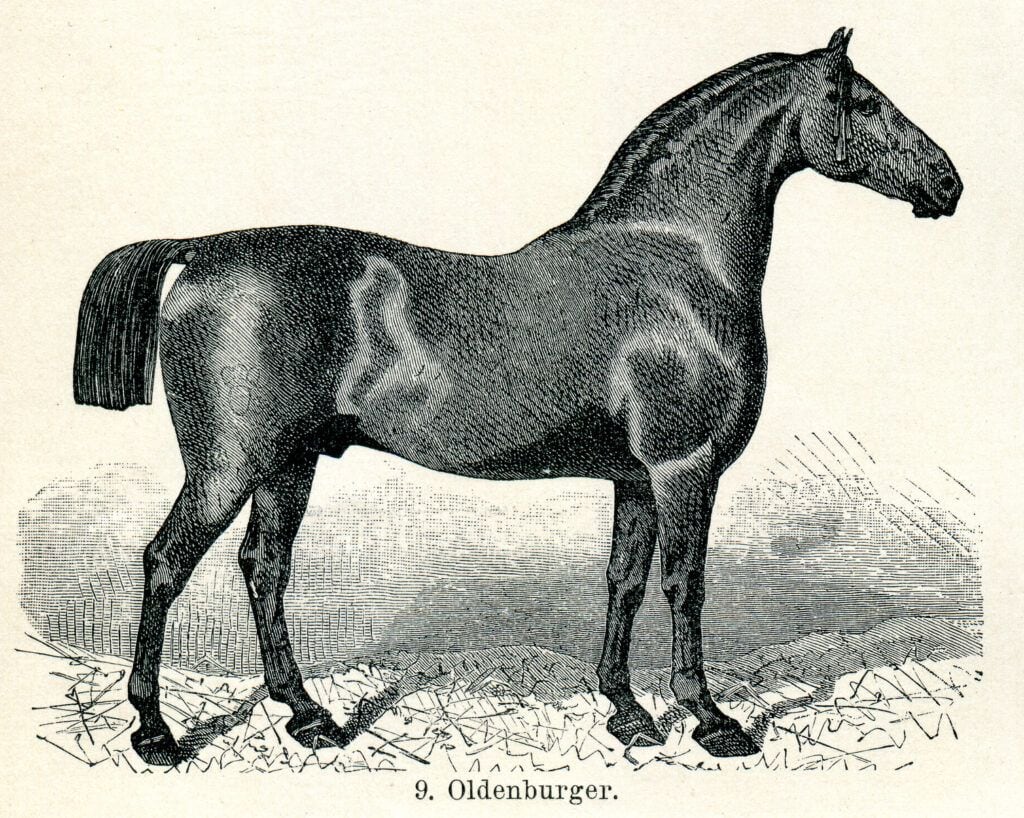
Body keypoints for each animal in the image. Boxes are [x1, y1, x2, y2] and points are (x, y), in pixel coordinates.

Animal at [73, 28, 961, 765]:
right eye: (864, 101)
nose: (948, 183)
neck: (676, 263)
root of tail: (207, 251)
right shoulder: (685, 471)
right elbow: (685, 585)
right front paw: (710, 720)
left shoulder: (637, 479)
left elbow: (623, 580)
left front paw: (626, 711)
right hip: (227, 469)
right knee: (166, 563)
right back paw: (154, 732)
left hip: (288, 465)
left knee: (265, 569)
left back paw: (308, 716)